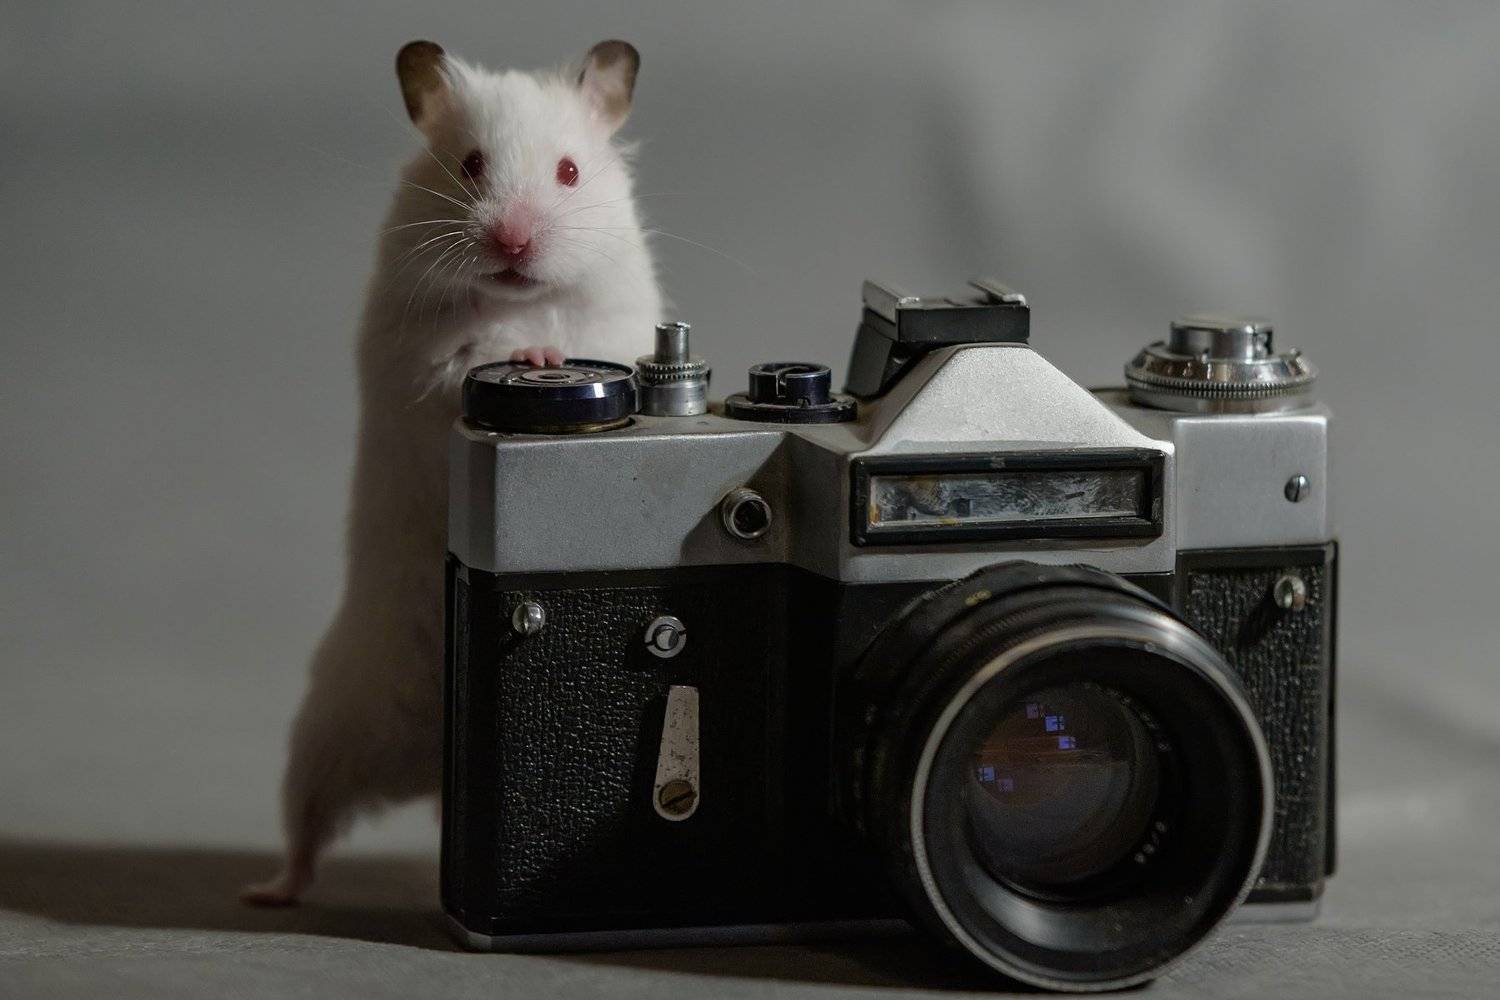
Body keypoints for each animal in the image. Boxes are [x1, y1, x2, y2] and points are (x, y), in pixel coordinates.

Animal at [242, 39, 661, 905]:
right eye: (470, 165)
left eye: (569, 172)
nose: (512, 242)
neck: (521, 295)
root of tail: (434, 768)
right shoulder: (426, 358)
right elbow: (478, 354)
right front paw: (535, 354)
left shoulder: (616, 317)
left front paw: (552, 351)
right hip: (326, 727)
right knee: (306, 826)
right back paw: (268, 891)